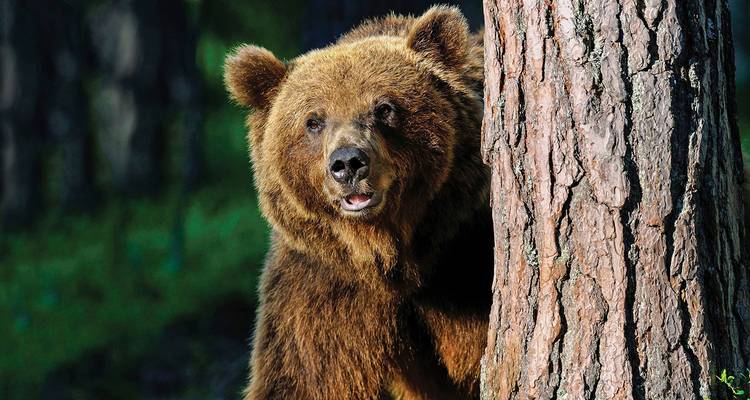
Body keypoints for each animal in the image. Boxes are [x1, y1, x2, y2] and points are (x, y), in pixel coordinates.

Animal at [224, 6, 492, 400]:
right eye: (313, 120)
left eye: (384, 108)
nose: (348, 163)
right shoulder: (323, 287)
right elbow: (302, 378)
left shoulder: (467, 256)